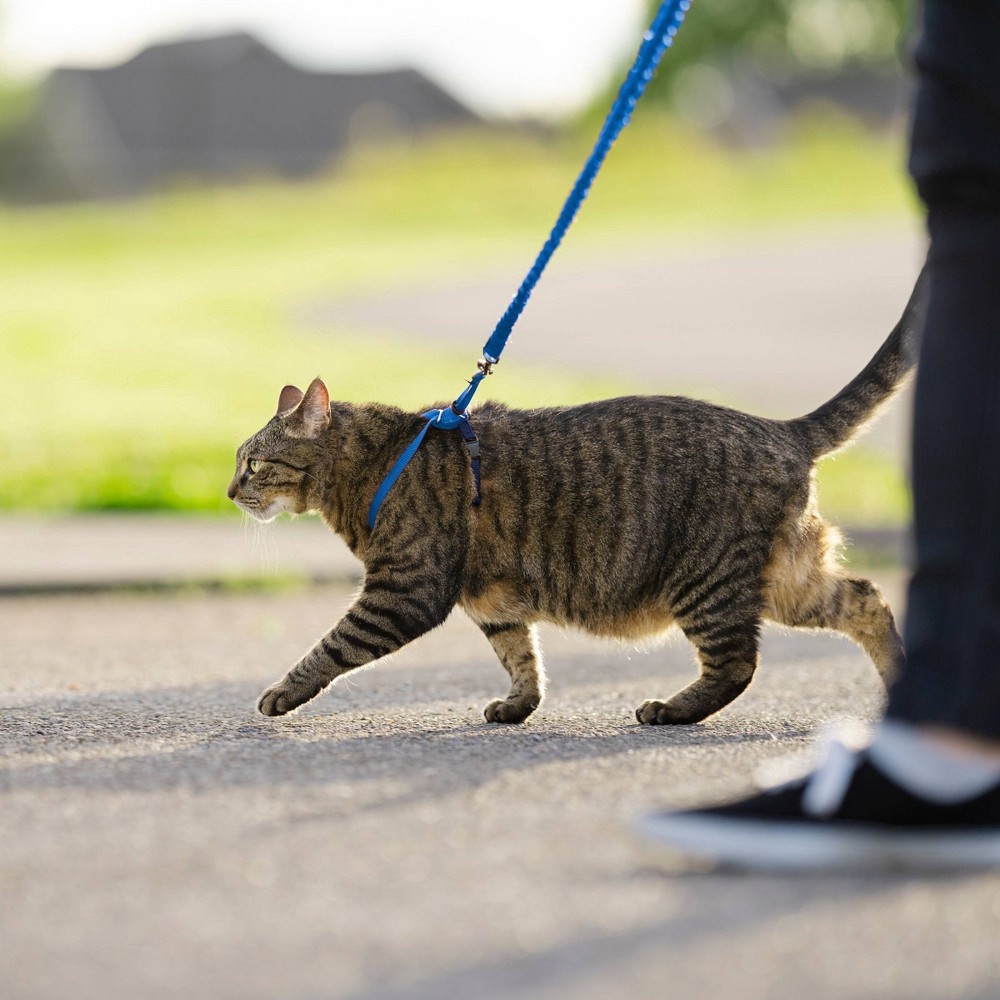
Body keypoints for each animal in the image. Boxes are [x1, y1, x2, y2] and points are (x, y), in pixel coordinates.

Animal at [230, 272, 924, 728]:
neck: (375, 462)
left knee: (738, 662)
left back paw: (671, 710)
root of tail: (781, 428)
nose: (230, 490)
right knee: (866, 598)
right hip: (787, 579)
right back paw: (899, 680)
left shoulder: (406, 589)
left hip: (707, 580)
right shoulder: (491, 599)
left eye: (254, 463)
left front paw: (282, 692)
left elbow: (331, 645)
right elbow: (521, 657)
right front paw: (520, 705)